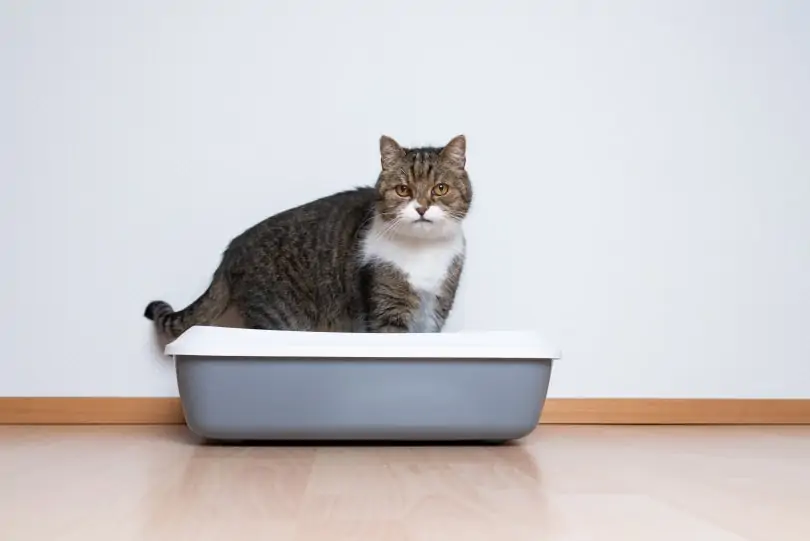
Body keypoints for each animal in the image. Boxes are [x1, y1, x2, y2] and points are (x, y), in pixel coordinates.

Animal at [144, 134, 470, 338]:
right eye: (403, 190)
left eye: (440, 189)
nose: (422, 208)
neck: (423, 252)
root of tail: (231, 251)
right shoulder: (387, 309)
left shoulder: (436, 309)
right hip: (278, 315)